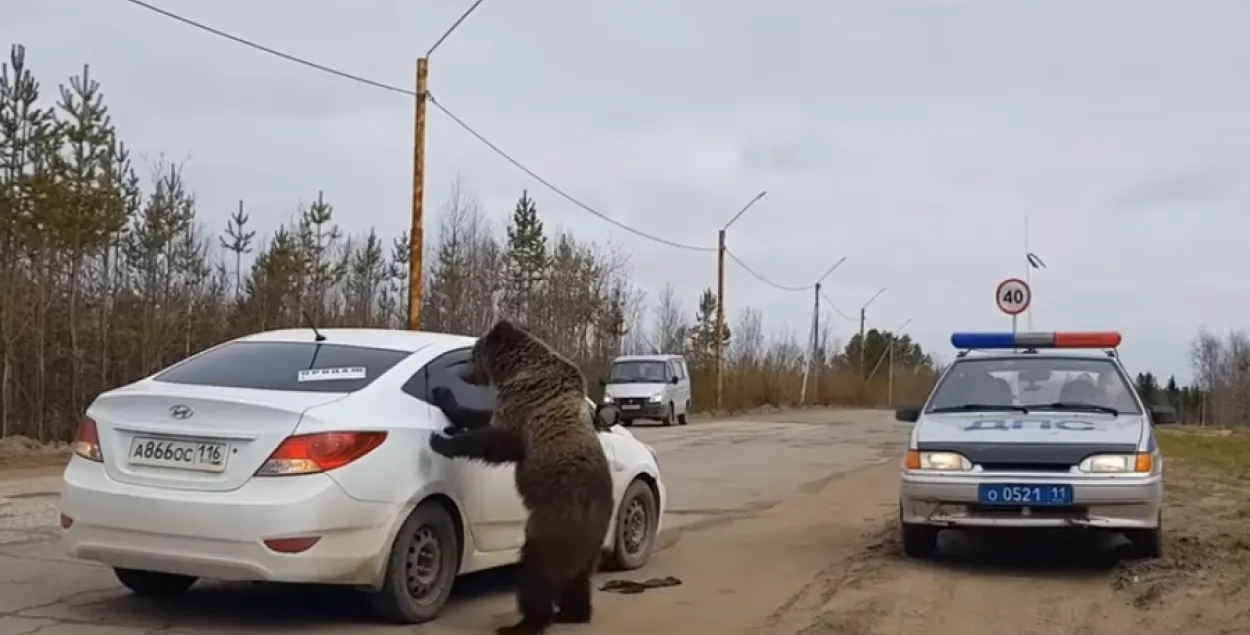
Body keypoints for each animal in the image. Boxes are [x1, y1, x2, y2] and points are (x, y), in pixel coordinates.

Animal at [427, 322, 612, 635]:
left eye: (473, 352)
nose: (463, 372)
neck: (516, 369)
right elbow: (482, 417)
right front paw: (445, 398)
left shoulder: (525, 405)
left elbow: (498, 439)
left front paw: (440, 440)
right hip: (588, 540)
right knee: (578, 578)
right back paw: (572, 613)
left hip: (552, 523)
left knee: (535, 572)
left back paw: (525, 623)